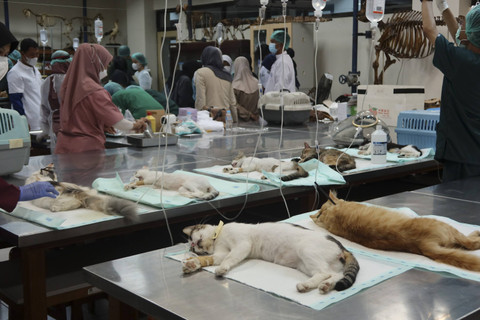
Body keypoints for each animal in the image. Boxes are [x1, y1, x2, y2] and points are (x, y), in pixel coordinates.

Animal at [183, 221, 360, 294]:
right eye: (192, 245)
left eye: (192, 236)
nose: (193, 244)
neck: (218, 238)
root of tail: (343, 247)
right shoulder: (220, 253)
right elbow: (214, 258)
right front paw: (192, 264)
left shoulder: (242, 244)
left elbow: (229, 258)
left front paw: (222, 269)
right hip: (307, 264)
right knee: (334, 274)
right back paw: (324, 286)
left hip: (306, 251)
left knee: (325, 272)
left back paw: (306, 285)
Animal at [310, 191, 480, 272]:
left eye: (321, 212)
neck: (331, 214)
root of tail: (422, 243)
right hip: (449, 228)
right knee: (470, 243)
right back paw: (476, 234)